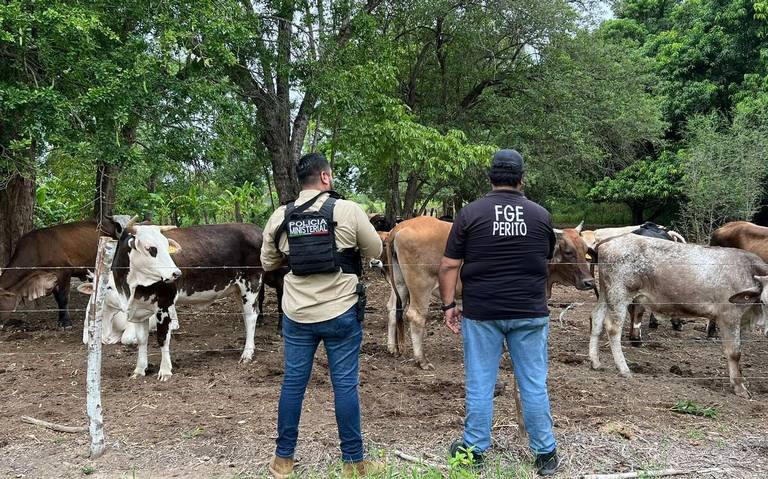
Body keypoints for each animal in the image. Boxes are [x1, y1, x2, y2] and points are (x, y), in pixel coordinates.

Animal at [81, 222, 266, 382]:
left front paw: (165, 371)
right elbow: (142, 340)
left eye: (165, 245)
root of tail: (255, 229)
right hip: (237, 289)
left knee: (251, 316)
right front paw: (139, 370)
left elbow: (162, 338)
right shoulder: (139, 310)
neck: (132, 287)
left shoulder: (164, 305)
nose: (176, 273)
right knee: (246, 316)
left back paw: (247, 353)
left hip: (251, 284)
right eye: (151, 249)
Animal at [384, 218, 592, 372]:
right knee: (415, 316)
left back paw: (392, 348)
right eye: (568, 251)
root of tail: (401, 226)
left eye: (585, 250)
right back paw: (421, 360)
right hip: (421, 285)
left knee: (393, 310)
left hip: (400, 284)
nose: (589, 282)